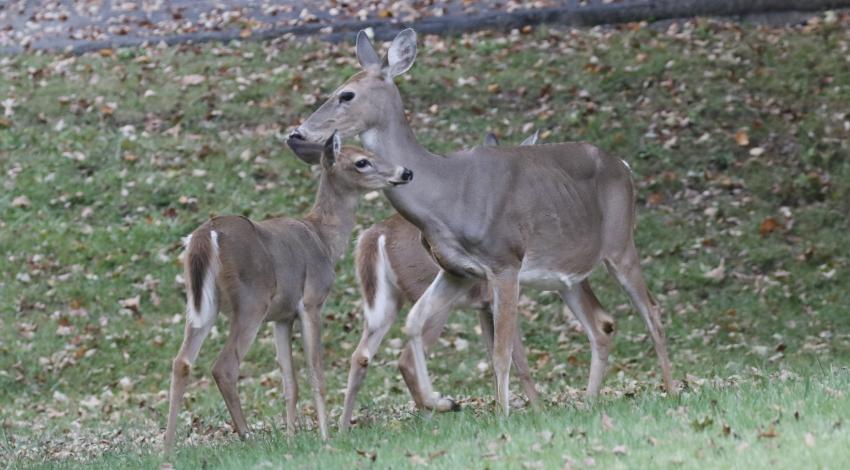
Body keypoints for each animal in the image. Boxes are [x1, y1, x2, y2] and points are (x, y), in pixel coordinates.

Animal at [163, 132, 413, 454]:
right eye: (362, 161)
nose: (405, 172)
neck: (324, 240)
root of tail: (206, 236)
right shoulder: (311, 301)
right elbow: (315, 372)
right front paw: (325, 437)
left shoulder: (282, 317)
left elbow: (289, 381)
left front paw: (292, 438)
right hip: (251, 301)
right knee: (224, 367)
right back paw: (248, 439)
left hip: (203, 306)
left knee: (181, 362)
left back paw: (168, 448)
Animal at [339, 131, 543, 430]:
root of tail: (374, 235)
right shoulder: (498, 297)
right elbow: (519, 359)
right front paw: (539, 409)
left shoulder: (484, 306)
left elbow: (493, 354)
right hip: (427, 294)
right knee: (406, 358)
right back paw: (438, 410)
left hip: (385, 299)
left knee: (360, 355)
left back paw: (343, 427)